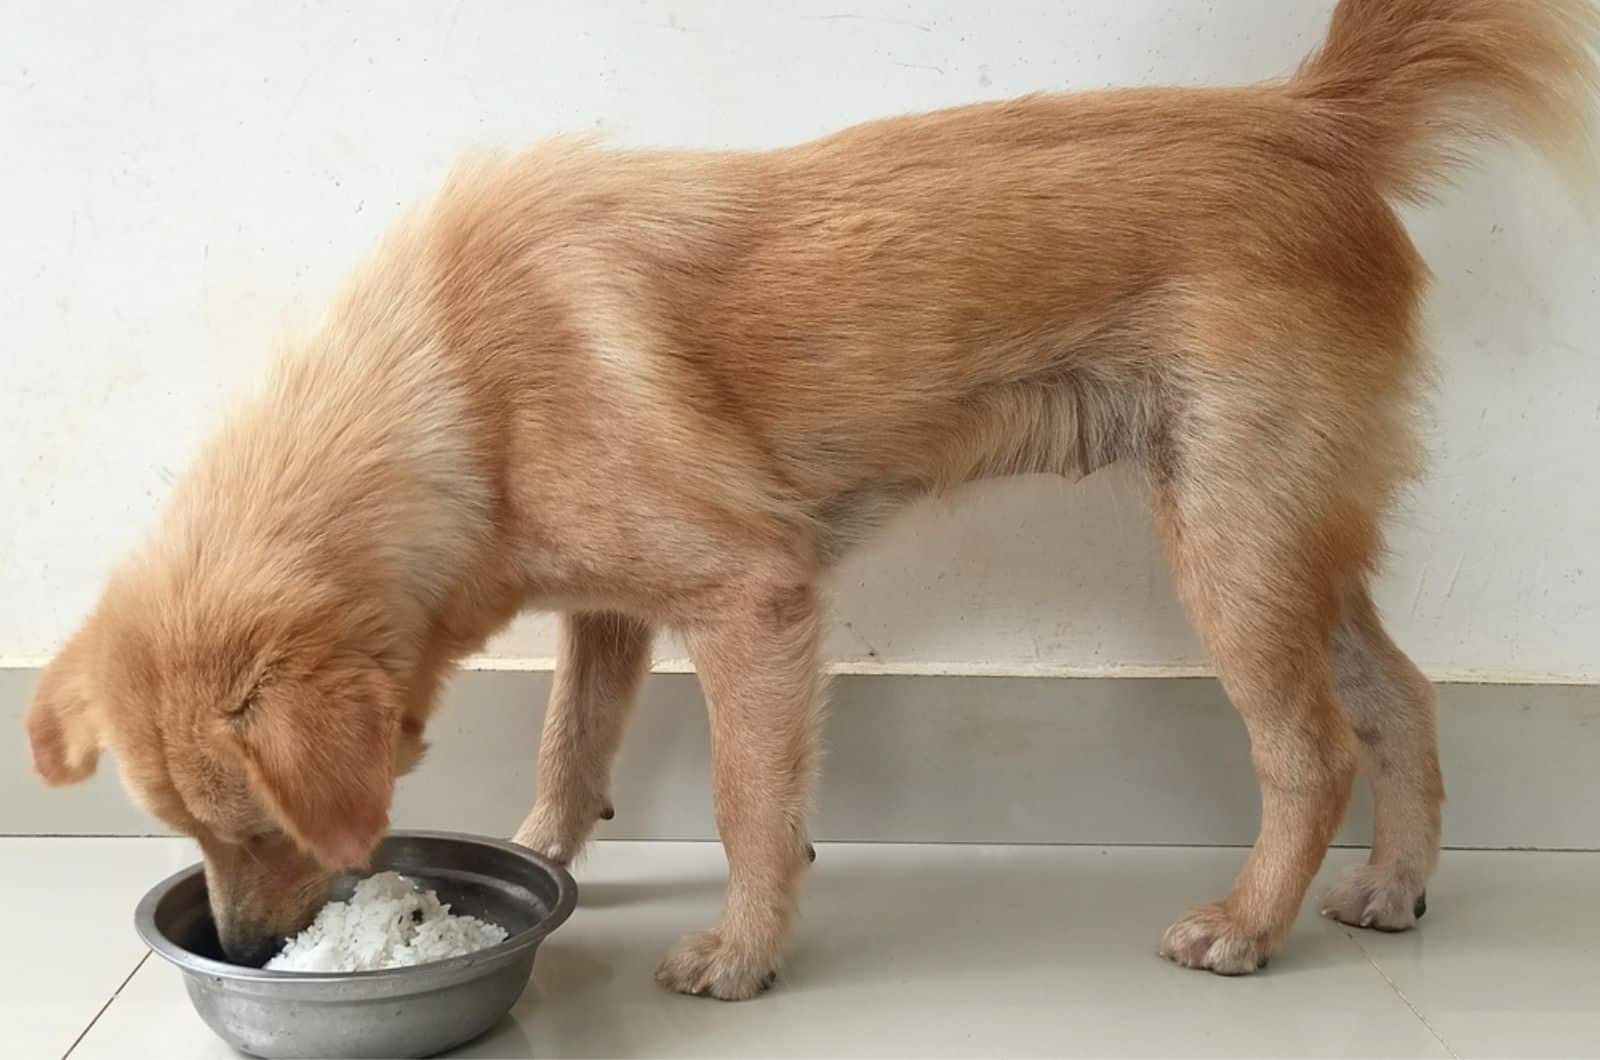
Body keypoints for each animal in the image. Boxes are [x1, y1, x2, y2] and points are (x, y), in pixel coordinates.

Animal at [25, 0, 1600, 999]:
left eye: (252, 824)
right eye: (186, 827)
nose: (235, 947)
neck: (460, 382)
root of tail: (1310, 120)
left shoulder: (756, 602)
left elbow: (742, 799)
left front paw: (744, 950)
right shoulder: (608, 615)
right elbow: (567, 749)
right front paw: (540, 858)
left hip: (1230, 542)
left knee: (1311, 750)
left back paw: (1249, 927)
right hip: (1285, 539)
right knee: (1403, 699)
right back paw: (1394, 885)